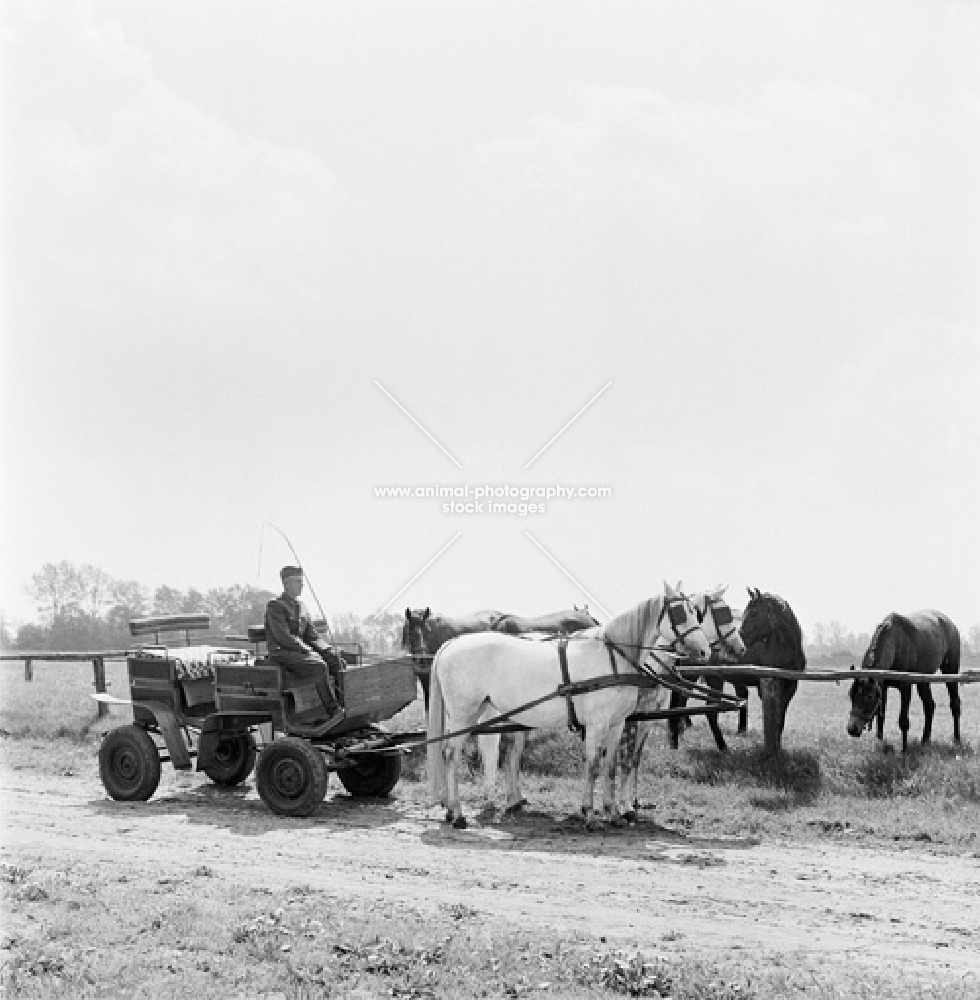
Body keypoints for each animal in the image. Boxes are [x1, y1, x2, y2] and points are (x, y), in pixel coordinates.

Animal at [424, 584, 708, 828]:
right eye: (680, 612)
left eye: (696, 611)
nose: (705, 651)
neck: (613, 658)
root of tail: (452, 643)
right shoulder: (597, 724)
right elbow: (593, 765)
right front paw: (589, 814)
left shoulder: (617, 724)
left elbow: (611, 766)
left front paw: (613, 813)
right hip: (463, 715)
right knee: (451, 754)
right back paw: (458, 814)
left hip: (477, 712)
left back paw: (457, 808)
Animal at [616, 584, 748, 820]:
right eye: (723, 613)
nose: (741, 648)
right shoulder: (627, 717)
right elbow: (623, 756)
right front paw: (621, 807)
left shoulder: (646, 716)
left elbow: (635, 757)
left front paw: (633, 802)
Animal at [848, 604, 960, 752]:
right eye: (850, 694)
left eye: (869, 697)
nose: (852, 729)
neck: (895, 644)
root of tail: (950, 624)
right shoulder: (883, 687)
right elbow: (881, 717)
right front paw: (879, 744)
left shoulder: (905, 687)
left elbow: (903, 721)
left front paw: (904, 750)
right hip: (923, 681)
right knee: (929, 705)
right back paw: (925, 740)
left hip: (950, 672)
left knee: (955, 703)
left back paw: (957, 740)